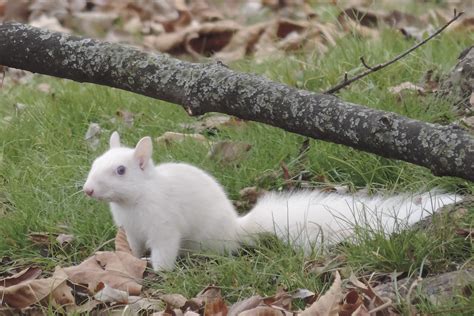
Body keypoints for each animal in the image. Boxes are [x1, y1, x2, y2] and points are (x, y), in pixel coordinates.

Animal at [84, 132, 460, 270]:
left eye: (120, 170)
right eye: (94, 162)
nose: (87, 190)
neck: (135, 201)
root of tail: (236, 229)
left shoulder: (163, 226)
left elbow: (164, 251)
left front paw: (158, 271)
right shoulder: (131, 229)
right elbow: (133, 248)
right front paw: (130, 260)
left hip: (209, 240)